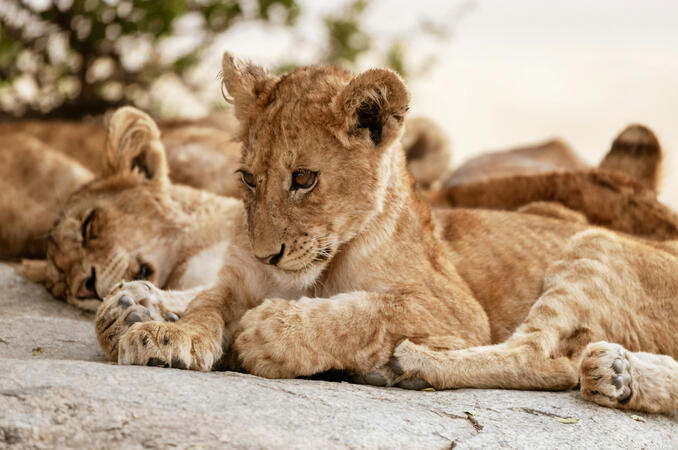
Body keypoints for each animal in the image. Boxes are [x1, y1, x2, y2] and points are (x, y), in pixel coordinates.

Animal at [86, 53, 678, 415]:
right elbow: (208, 301)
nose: (269, 254)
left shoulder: (458, 309)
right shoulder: (238, 278)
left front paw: (272, 333)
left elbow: (367, 310)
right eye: (249, 179)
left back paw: (406, 365)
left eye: (304, 178)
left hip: (593, 245)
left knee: (547, 359)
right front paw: (164, 333)